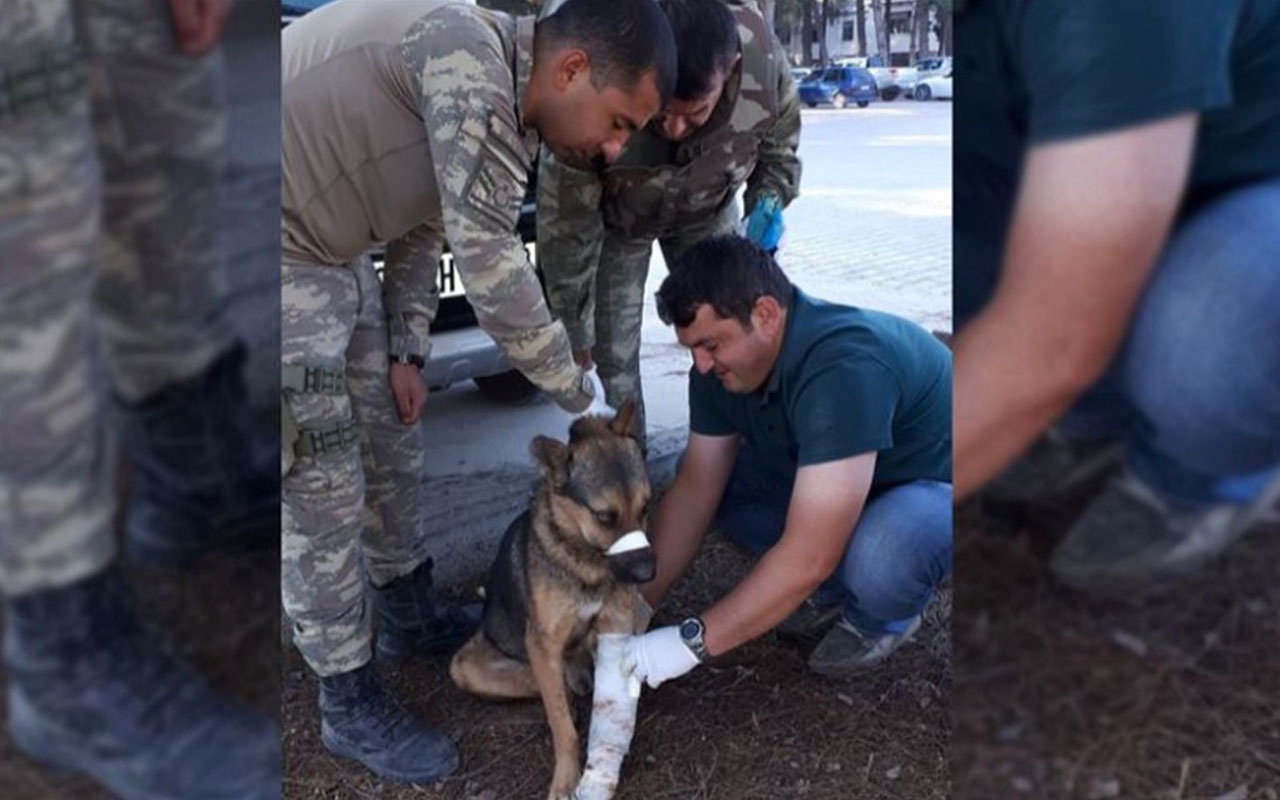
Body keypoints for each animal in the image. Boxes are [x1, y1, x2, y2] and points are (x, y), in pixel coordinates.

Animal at [448, 404, 650, 798]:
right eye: (605, 516)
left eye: (646, 507)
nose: (648, 573)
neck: (584, 563)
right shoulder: (542, 643)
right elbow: (561, 726)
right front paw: (567, 777)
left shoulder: (617, 624)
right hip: (472, 666)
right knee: (551, 690)